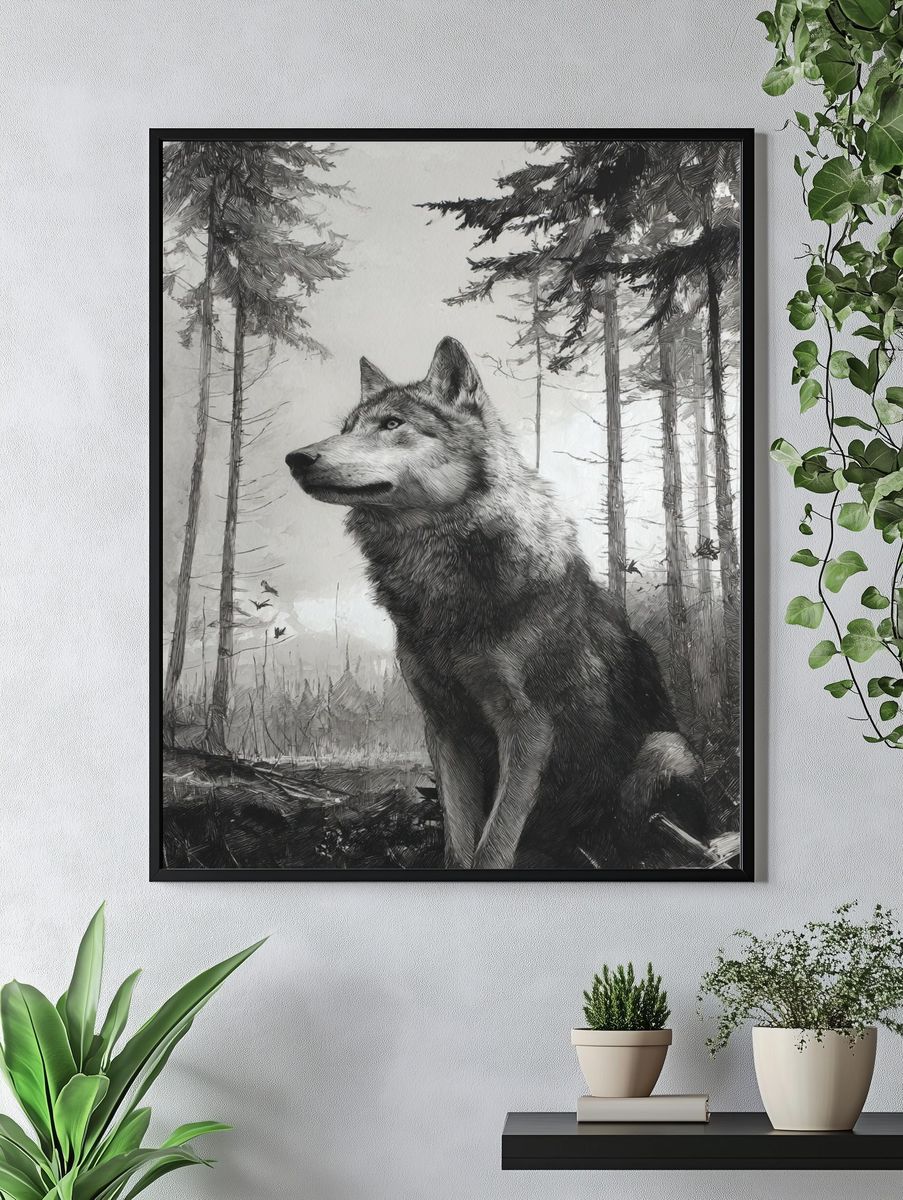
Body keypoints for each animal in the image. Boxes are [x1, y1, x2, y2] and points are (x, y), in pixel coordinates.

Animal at [286, 337, 711, 869]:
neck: (441, 581)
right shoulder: (443, 729)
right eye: (347, 429)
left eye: (392, 424)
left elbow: (494, 843)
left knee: (634, 831)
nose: (296, 457)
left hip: (664, 750)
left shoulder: (528, 729)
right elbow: (460, 839)